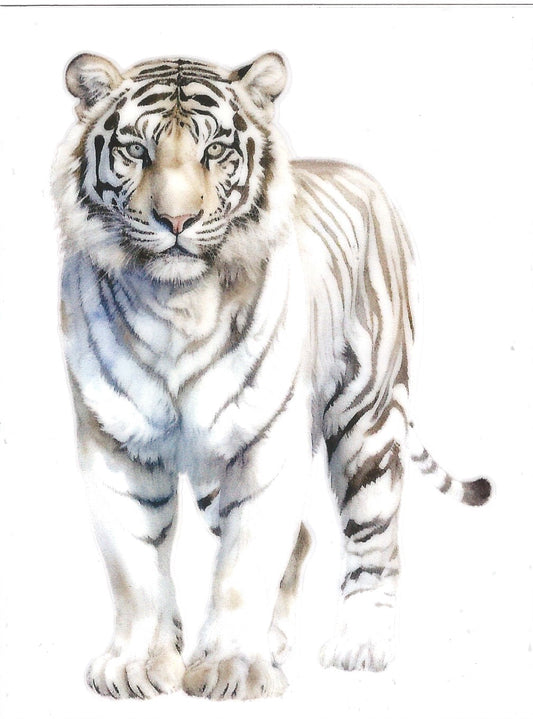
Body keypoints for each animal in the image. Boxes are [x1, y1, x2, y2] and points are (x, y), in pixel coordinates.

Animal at [53, 51, 491, 701]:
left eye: (215, 151)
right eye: (136, 150)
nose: (177, 219)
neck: (176, 304)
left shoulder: (264, 440)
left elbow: (245, 564)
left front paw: (232, 668)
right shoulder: (114, 441)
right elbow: (134, 566)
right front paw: (138, 665)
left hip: (367, 423)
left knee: (375, 540)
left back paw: (361, 645)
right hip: (215, 468)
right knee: (304, 538)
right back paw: (276, 644)